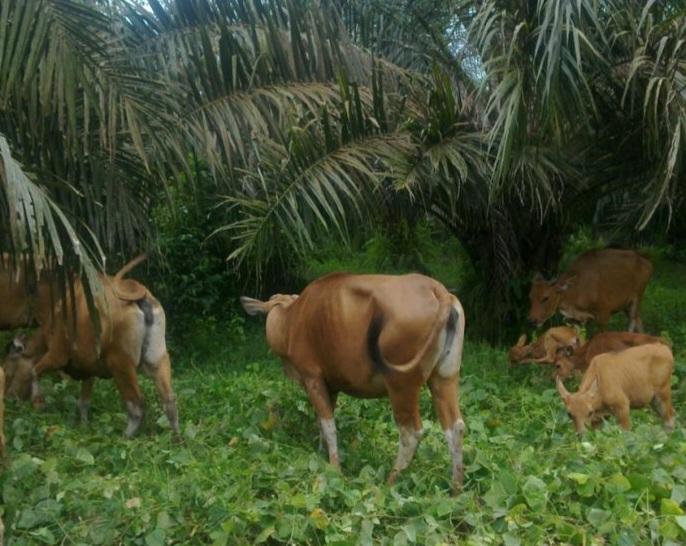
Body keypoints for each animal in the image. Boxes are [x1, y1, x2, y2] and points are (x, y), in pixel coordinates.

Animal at [242, 272, 468, 488]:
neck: (292, 319)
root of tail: (439, 291)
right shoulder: (330, 386)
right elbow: (322, 421)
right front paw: (321, 453)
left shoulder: (312, 378)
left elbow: (329, 426)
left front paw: (334, 468)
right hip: (444, 378)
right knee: (455, 427)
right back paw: (456, 488)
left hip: (401, 384)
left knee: (411, 433)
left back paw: (390, 482)